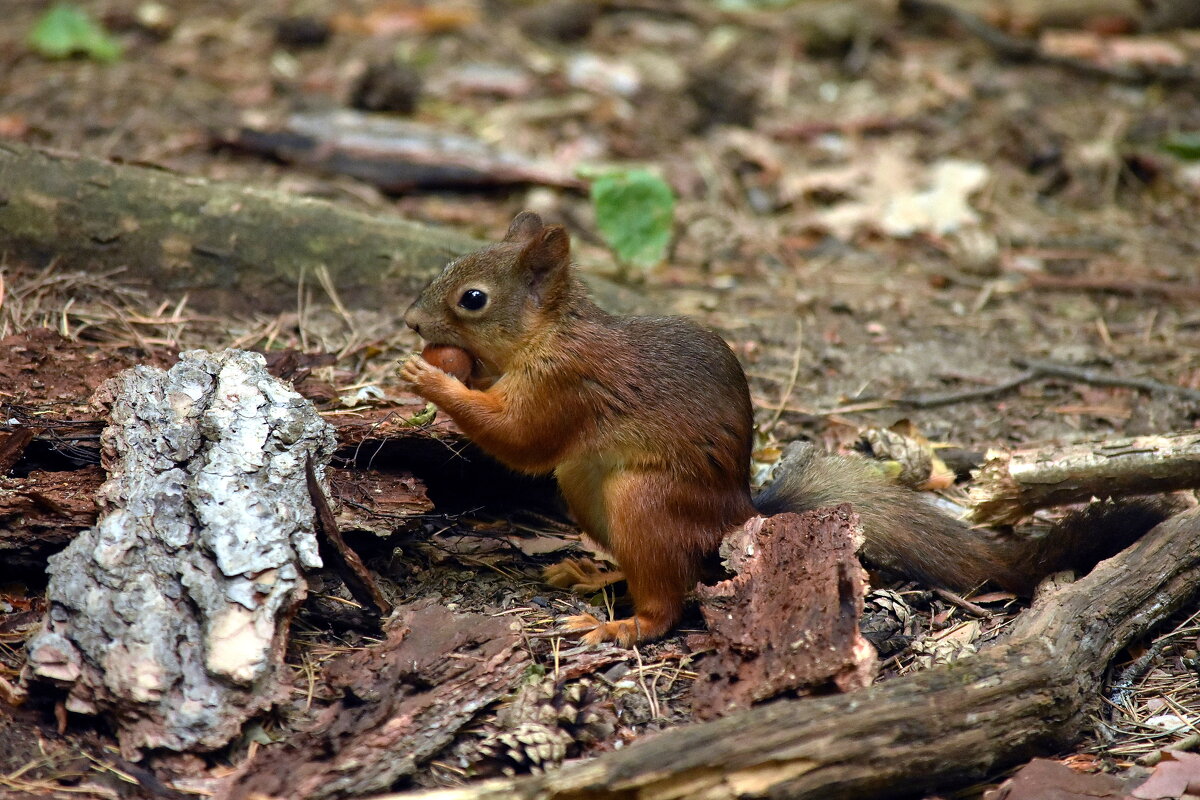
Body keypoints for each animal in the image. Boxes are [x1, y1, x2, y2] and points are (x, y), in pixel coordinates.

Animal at [403, 211, 1171, 642]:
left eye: (473, 299)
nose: (410, 324)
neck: (550, 332)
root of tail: (736, 515)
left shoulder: (567, 384)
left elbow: (522, 439)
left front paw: (429, 378)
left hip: (642, 501)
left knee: (669, 598)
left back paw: (619, 625)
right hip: (588, 494)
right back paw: (594, 574)